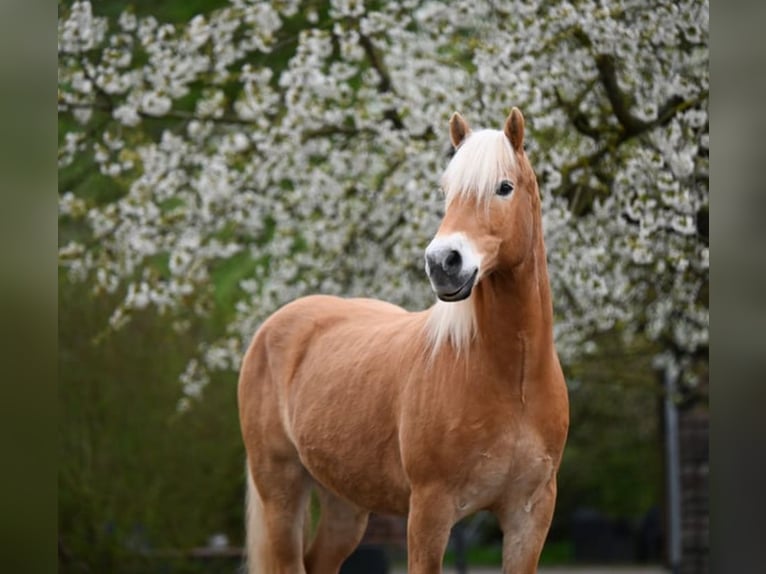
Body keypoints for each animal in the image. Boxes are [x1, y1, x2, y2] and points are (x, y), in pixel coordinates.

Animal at [238, 107, 569, 574]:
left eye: (504, 187)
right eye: (447, 191)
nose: (443, 263)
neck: (510, 380)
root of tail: (271, 329)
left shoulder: (530, 515)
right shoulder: (429, 512)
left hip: (345, 503)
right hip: (281, 491)